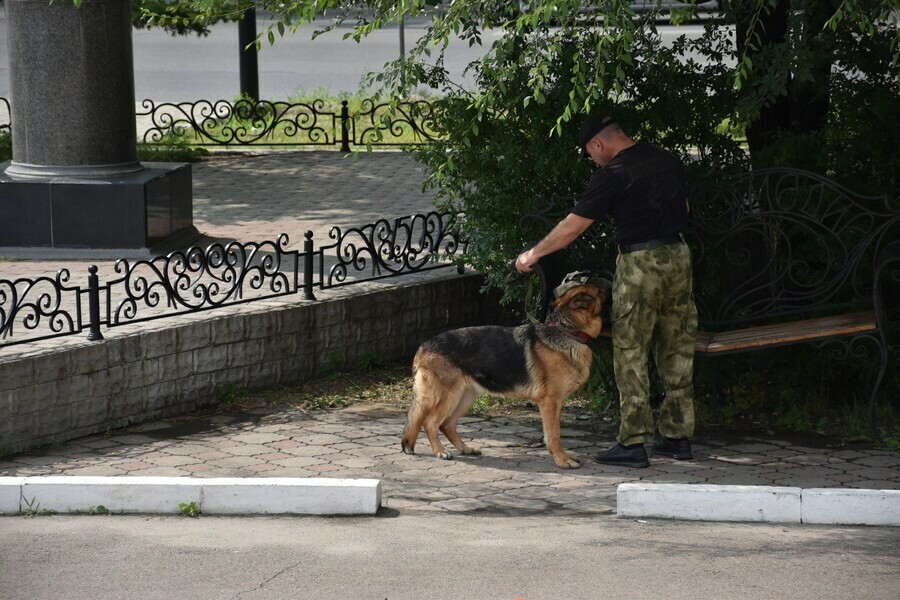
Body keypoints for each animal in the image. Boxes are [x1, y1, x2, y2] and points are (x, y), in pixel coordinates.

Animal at [400, 280, 604, 468]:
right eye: (600, 290)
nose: (608, 283)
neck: (567, 330)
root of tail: (423, 346)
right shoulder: (549, 402)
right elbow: (554, 435)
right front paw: (562, 460)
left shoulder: (556, 404)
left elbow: (554, 433)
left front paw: (563, 456)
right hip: (449, 396)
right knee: (430, 423)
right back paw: (440, 452)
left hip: (465, 397)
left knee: (446, 425)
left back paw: (465, 449)